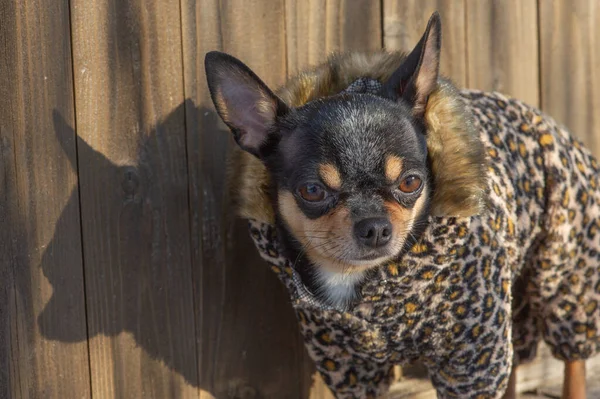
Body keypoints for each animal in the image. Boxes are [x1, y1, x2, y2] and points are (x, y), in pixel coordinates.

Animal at [205, 12, 596, 399]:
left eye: (410, 182)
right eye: (312, 190)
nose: (375, 226)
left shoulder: (470, 360)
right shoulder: (349, 366)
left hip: (564, 282)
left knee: (573, 359)